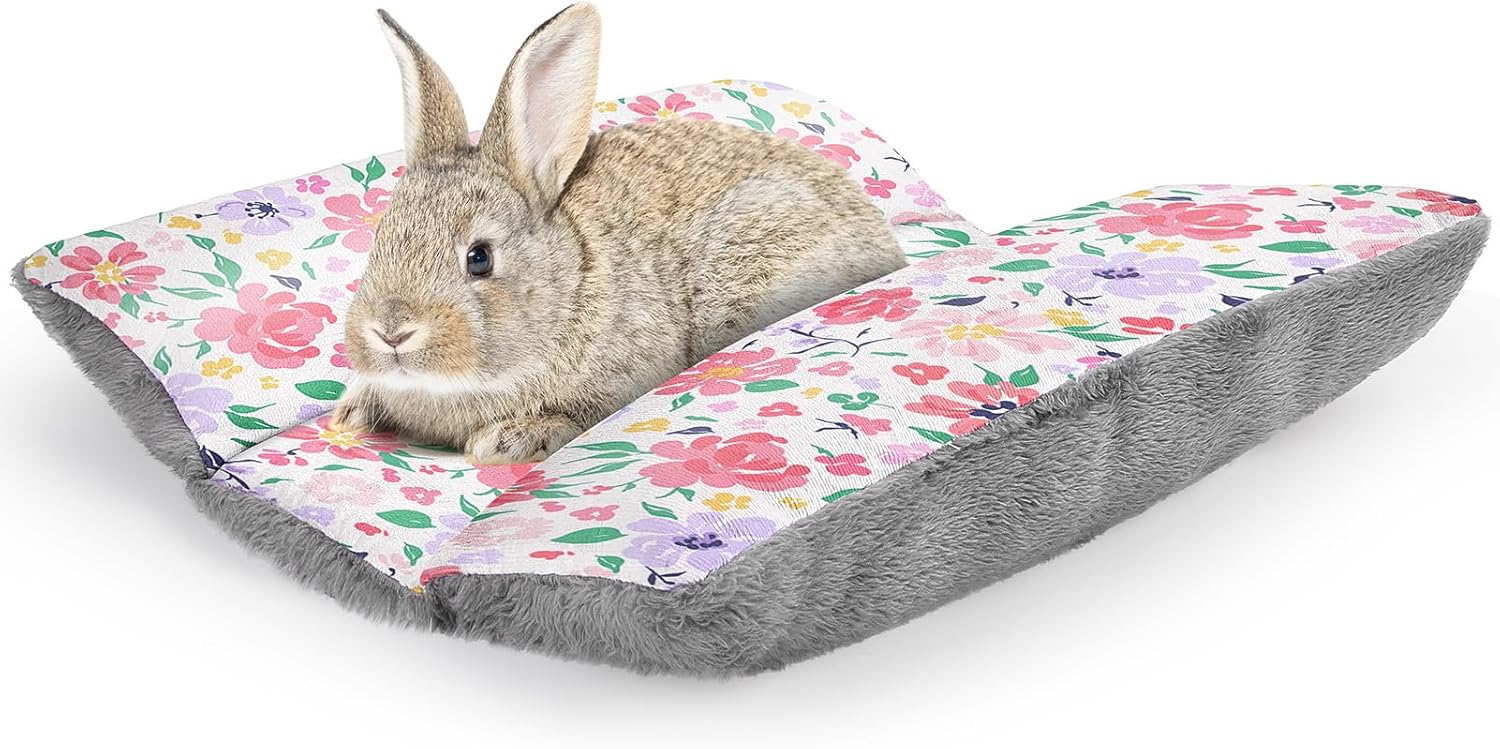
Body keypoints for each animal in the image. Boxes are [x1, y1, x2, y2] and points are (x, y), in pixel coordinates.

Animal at [331, 3, 906, 464]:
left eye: (480, 258)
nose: (392, 332)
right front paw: (351, 411)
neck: (568, 285)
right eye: (380, 240)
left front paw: (506, 441)